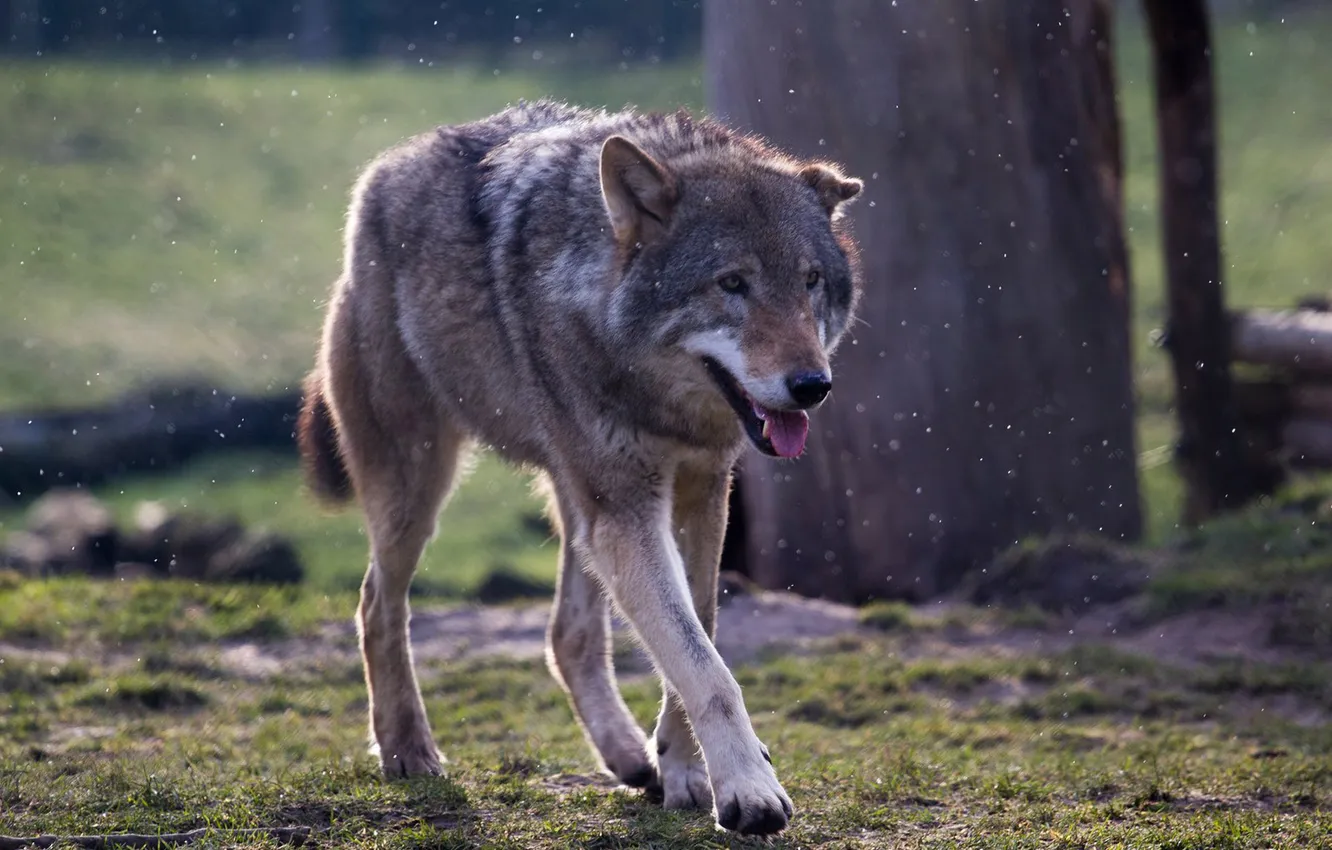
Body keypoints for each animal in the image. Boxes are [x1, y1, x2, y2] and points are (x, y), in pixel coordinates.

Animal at [295, 99, 862, 836]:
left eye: (811, 281)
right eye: (732, 284)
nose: (812, 386)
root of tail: (384, 170)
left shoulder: (702, 489)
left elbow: (699, 633)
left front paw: (686, 770)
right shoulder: (627, 510)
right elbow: (705, 667)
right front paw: (747, 788)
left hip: (575, 501)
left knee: (567, 633)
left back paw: (629, 759)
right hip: (422, 492)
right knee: (375, 604)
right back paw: (407, 750)